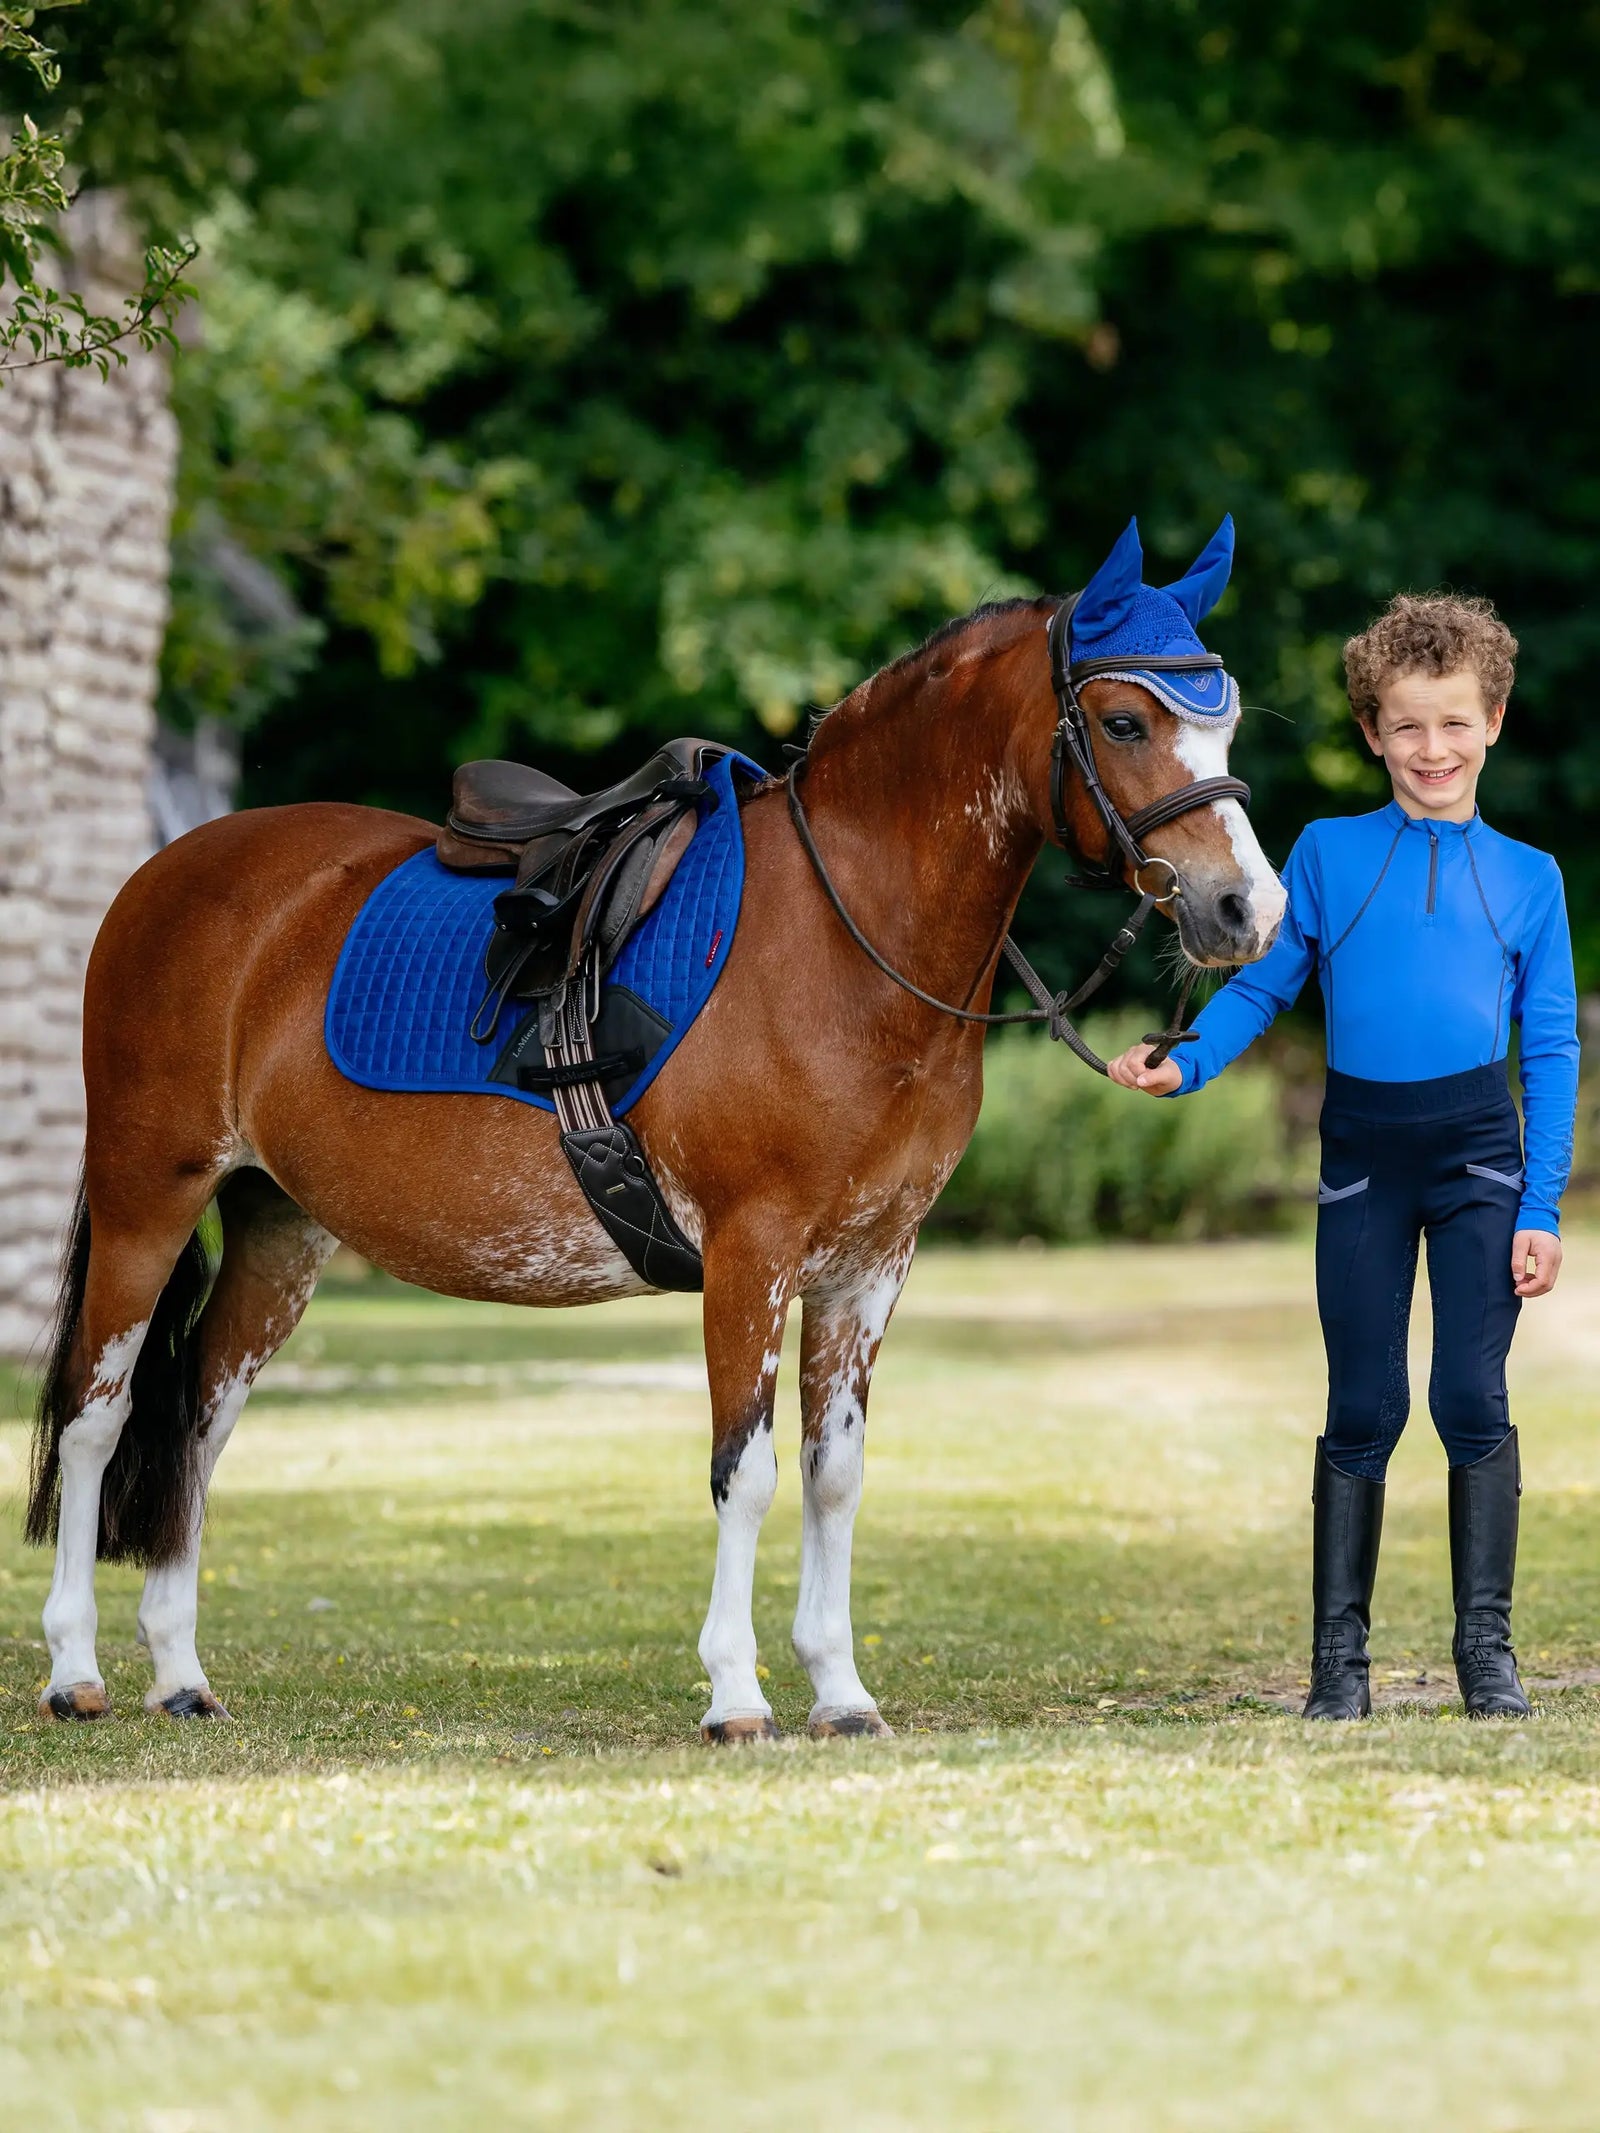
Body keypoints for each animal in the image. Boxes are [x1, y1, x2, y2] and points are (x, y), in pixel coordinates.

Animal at [25, 591, 1285, 1739]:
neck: (844, 939)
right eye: (1121, 720)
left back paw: (180, 1675)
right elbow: (748, 1469)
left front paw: (841, 1693)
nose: (1246, 908)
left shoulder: (868, 1268)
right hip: (148, 1198)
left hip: (279, 1230)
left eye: (1223, 723)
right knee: (99, 1417)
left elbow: (834, 1474)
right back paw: (75, 1671)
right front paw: (736, 1696)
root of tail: (161, 877)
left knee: (196, 1419)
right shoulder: (750, 1253)